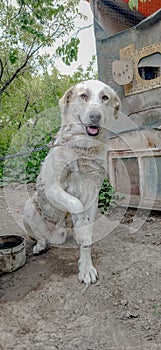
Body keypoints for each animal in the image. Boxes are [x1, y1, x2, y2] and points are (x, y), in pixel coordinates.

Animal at [23, 80, 120, 286]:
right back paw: (40, 245)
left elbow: (86, 234)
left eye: (105, 97)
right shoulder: (52, 187)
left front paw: (86, 268)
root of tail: (55, 235)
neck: (83, 148)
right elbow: (75, 204)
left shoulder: (92, 193)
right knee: (39, 237)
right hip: (28, 208)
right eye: (83, 95)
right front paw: (82, 230)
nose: (96, 116)